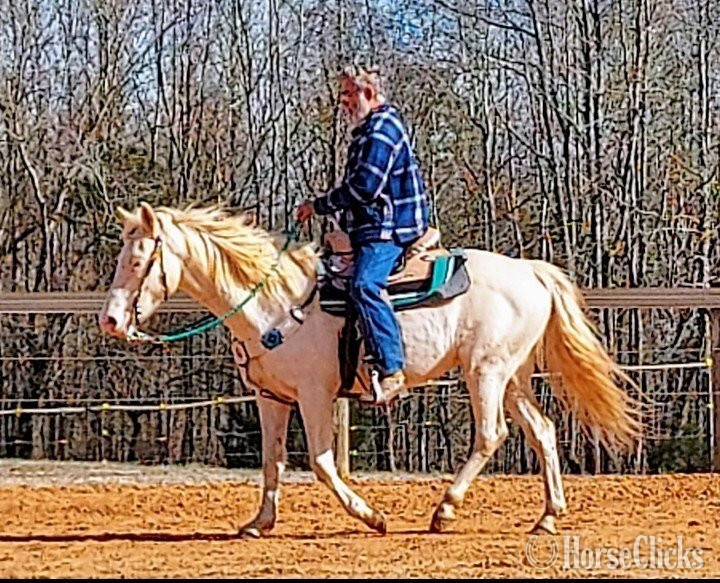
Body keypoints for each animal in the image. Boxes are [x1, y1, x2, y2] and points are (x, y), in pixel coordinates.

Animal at [99, 202, 641, 537]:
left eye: (140, 260)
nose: (110, 321)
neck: (273, 302)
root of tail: (530, 270)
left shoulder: (315, 396)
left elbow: (321, 463)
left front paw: (372, 516)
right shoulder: (270, 398)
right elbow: (272, 462)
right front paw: (258, 523)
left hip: (485, 372)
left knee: (492, 434)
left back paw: (445, 510)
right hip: (513, 376)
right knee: (543, 430)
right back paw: (548, 516)